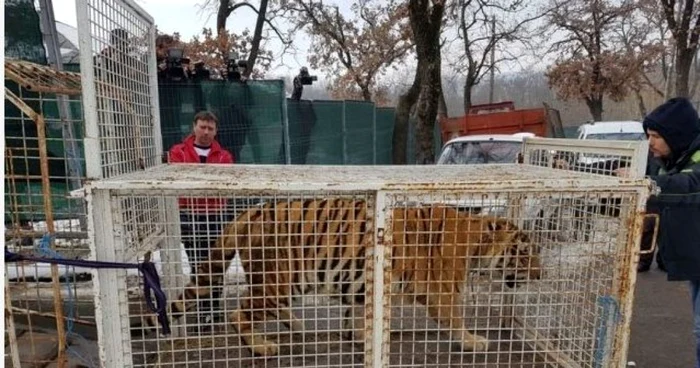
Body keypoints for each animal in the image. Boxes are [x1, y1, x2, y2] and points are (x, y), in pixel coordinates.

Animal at [139, 198, 540, 356]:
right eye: (525, 252)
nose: (540, 273)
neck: (474, 243)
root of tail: (251, 210)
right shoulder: (443, 292)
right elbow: (456, 319)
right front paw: (475, 341)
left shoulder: (363, 285)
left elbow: (360, 316)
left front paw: (358, 337)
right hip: (279, 278)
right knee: (239, 312)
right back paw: (263, 346)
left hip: (285, 283)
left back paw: (296, 326)